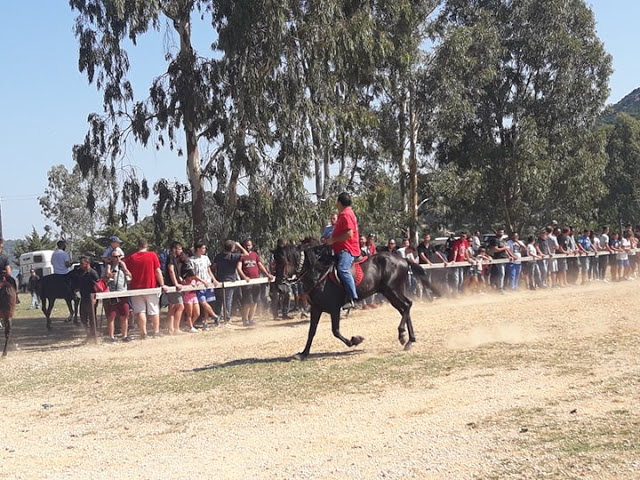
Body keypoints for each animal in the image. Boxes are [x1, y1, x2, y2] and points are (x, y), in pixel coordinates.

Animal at [282, 244, 440, 360]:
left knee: (407, 305)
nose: (280, 285)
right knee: (404, 309)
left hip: (392, 290)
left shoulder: (334, 309)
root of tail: (403, 260)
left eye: (284, 260)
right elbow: (311, 332)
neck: (319, 274)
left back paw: (402, 335)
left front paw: (355, 340)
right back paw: (409, 340)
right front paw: (303, 353)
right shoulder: (316, 308)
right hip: (389, 293)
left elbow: (335, 331)